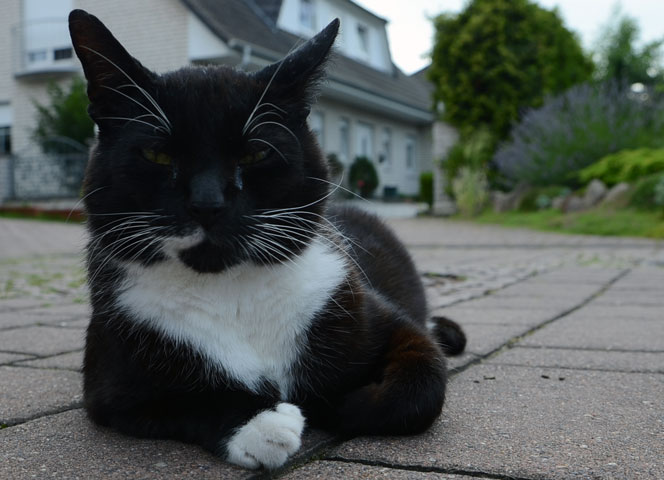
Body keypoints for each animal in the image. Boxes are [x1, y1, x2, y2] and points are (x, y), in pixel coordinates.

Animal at [66, 9, 462, 470]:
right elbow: (181, 398)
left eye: (255, 153)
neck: (230, 290)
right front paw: (260, 422)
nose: (207, 203)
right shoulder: (110, 382)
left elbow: (421, 384)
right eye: (157, 155)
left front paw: (337, 403)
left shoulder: (372, 314)